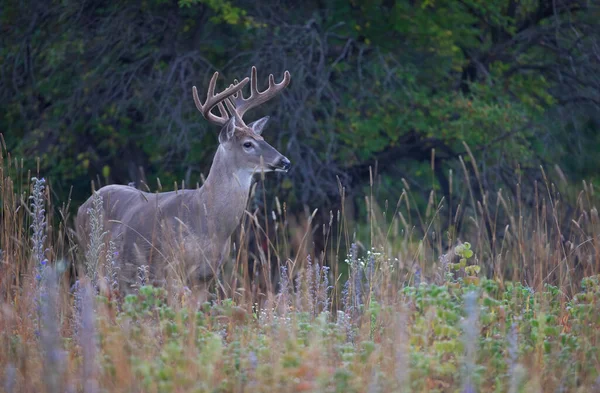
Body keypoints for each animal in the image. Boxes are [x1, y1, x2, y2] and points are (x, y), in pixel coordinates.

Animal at [76, 66, 292, 294]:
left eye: (262, 138)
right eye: (248, 144)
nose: (285, 161)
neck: (209, 221)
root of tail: (82, 207)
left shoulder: (205, 277)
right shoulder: (171, 270)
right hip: (94, 259)